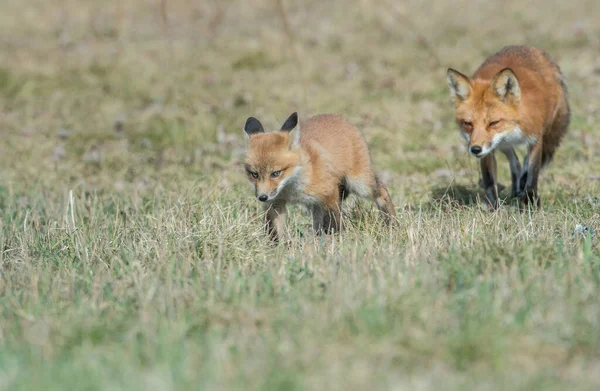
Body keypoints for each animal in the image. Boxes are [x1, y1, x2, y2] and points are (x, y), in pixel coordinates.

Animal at [241, 112, 396, 243]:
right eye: (254, 174)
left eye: (275, 173)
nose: (262, 197)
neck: (291, 190)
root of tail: (336, 116)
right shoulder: (275, 204)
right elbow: (274, 232)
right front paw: (276, 249)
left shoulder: (330, 194)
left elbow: (335, 224)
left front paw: (336, 242)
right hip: (315, 206)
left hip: (358, 184)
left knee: (382, 191)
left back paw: (392, 224)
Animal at [446, 46, 572, 210]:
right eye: (468, 124)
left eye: (493, 123)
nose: (475, 150)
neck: (514, 129)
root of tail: (527, 47)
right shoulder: (488, 149)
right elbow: (489, 179)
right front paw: (492, 206)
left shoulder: (536, 139)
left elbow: (533, 172)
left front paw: (529, 201)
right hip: (501, 145)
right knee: (515, 161)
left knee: (525, 161)